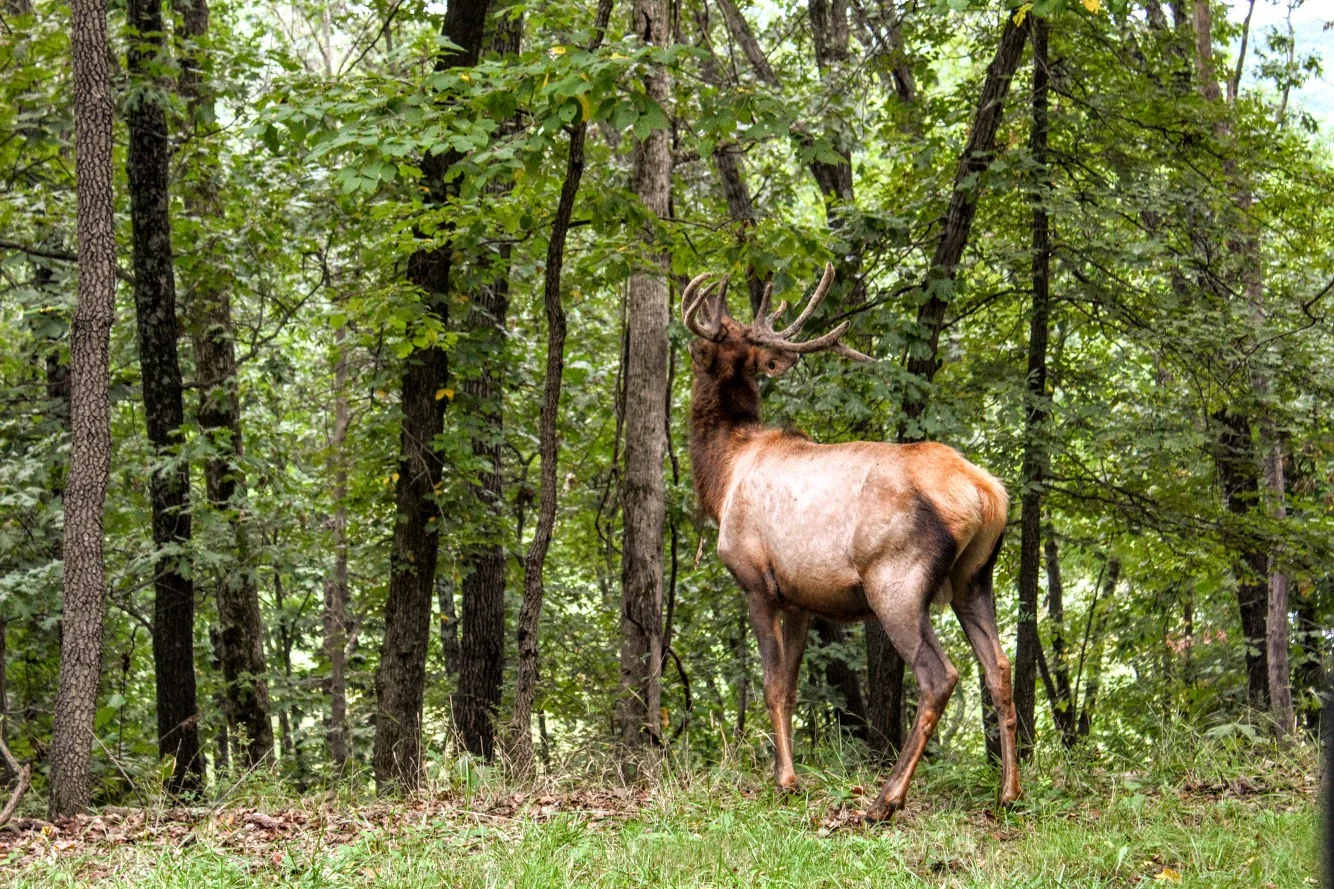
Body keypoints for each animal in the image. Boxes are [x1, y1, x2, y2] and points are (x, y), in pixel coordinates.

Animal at [682, 263, 1020, 822]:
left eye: (709, 342)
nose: (688, 344)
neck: (722, 474)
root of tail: (987, 494)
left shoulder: (756, 580)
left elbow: (771, 683)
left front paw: (786, 782)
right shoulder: (799, 599)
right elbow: (791, 687)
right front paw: (789, 775)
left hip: (896, 581)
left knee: (939, 675)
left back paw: (886, 799)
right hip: (975, 577)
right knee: (998, 667)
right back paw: (1010, 793)